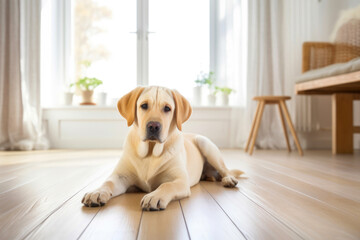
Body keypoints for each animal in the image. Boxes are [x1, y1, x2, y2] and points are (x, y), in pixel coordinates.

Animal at [82, 86, 242, 210]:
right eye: (144, 106)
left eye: (167, 108)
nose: (153, 126)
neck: (150, 152)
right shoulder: (121, 177)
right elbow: (107, 182)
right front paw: (96, 192)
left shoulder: (180, 181)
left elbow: (167, 186)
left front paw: (154, 197)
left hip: (205, 144)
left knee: (225, 170)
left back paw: (228, 179)